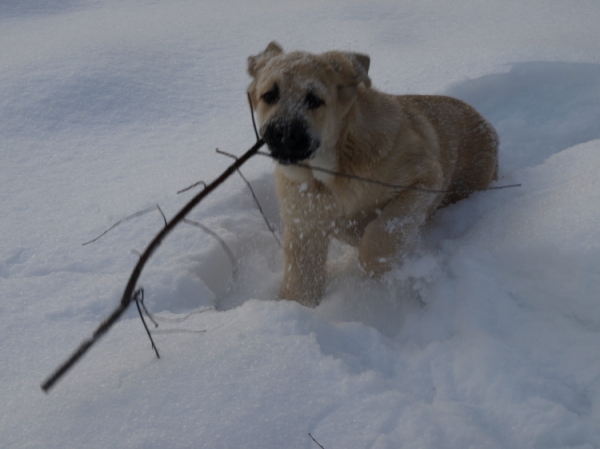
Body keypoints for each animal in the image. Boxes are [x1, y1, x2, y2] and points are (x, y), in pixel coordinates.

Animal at [246, 42, 500, 306]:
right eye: (269, 96)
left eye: (314, 100)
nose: (282, 132)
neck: (331, 172)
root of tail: (487, 125)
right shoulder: (305, 228)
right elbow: (300, 284)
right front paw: (297, 309)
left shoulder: (424, 179)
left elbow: (380, 234)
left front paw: (383, 272)